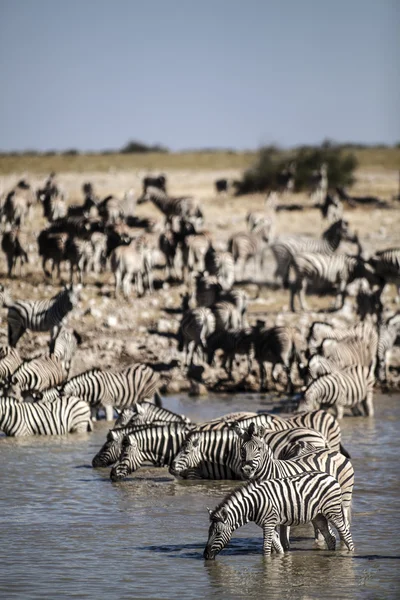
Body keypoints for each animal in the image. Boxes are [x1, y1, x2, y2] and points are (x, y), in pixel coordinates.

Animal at [203, 472, 354, 560]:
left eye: (218, 533)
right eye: (209, 533)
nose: (205, 555)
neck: (254, 504)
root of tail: (330, 476)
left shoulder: (269, 522)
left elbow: (266, 548)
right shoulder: (266, 524)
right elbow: (278, 547)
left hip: (333, 511)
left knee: (346, 534)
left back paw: (351, 554)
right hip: (318, 515)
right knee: (330, 538)